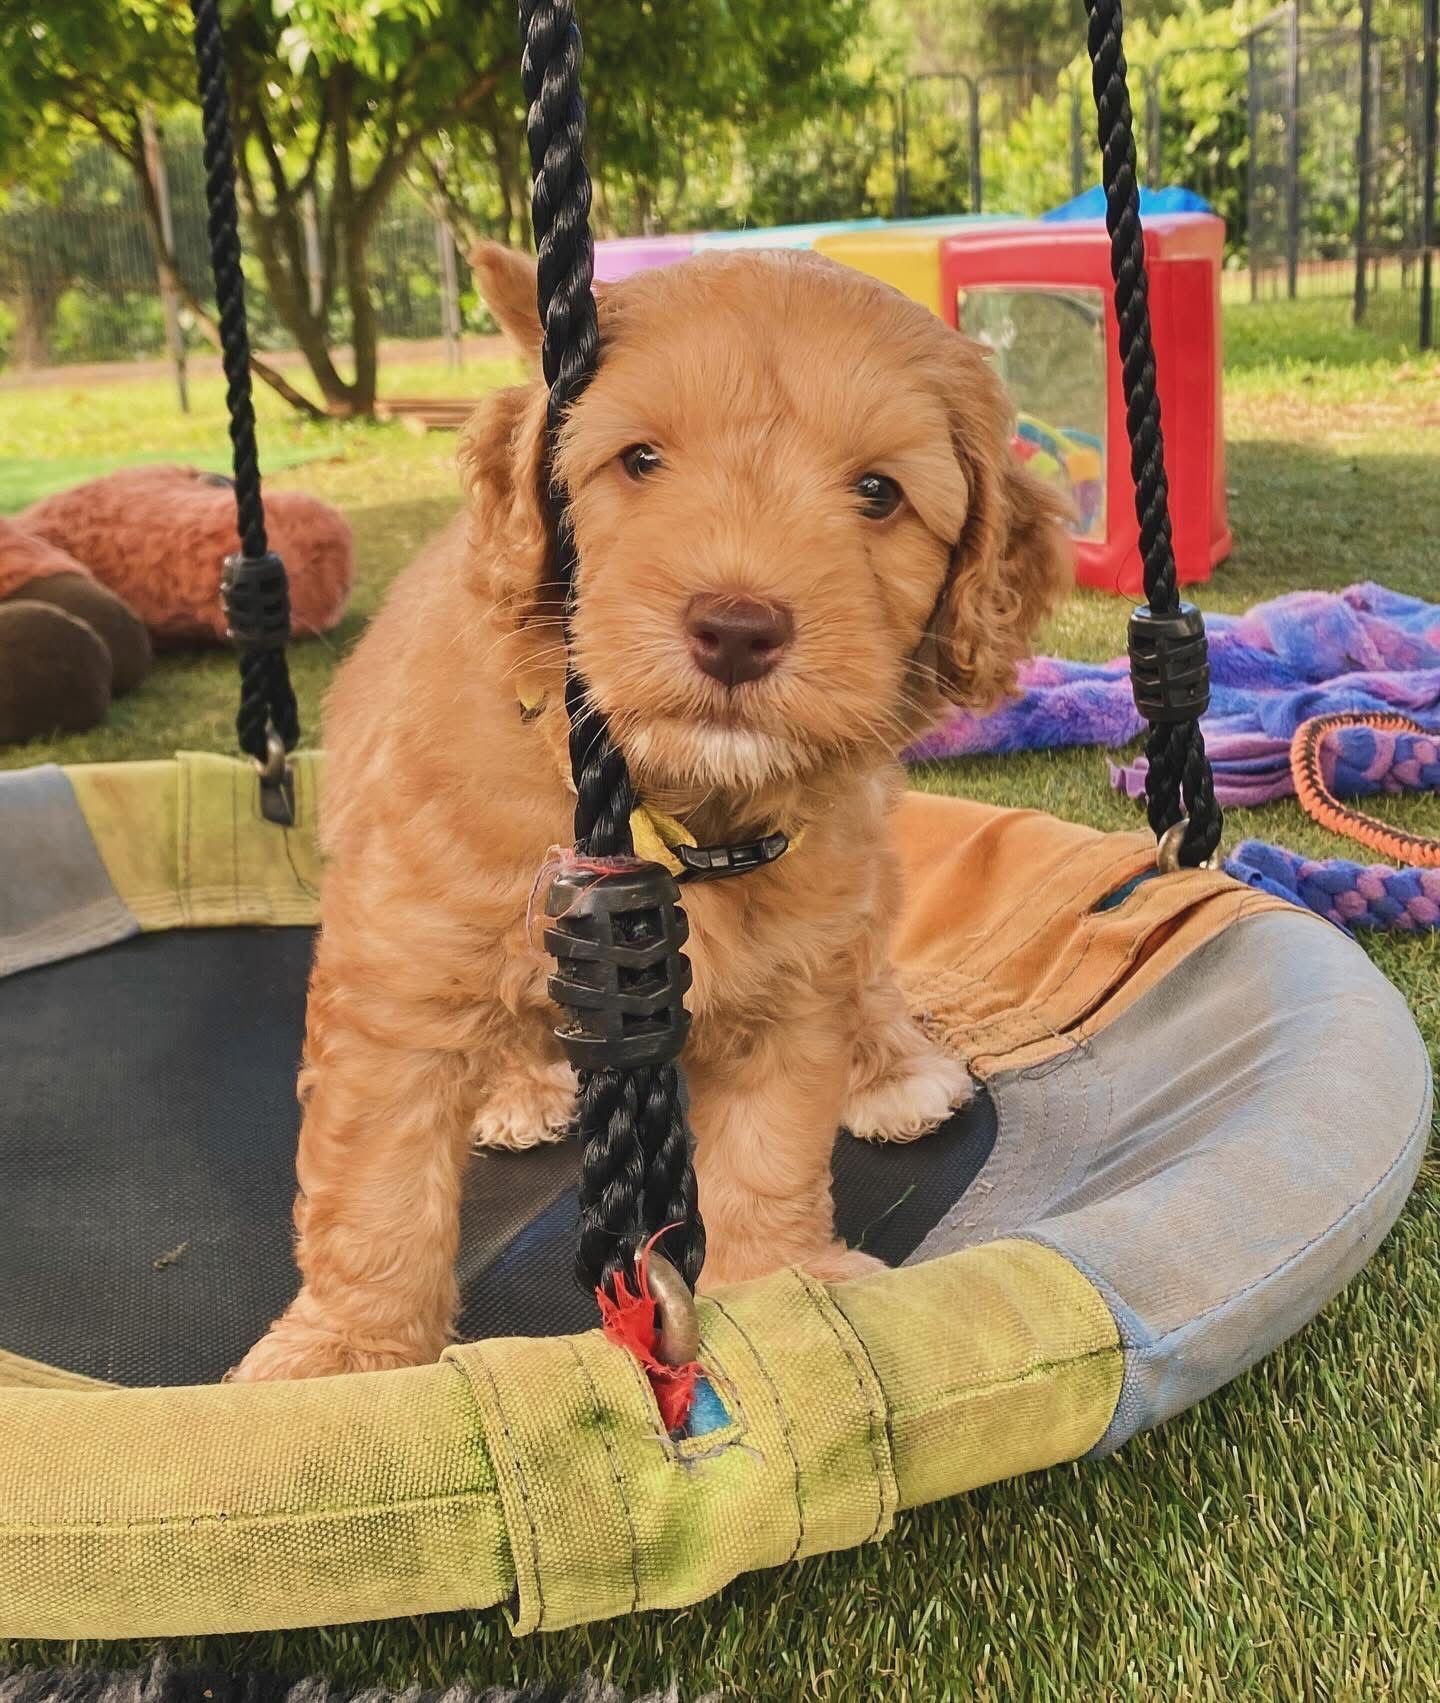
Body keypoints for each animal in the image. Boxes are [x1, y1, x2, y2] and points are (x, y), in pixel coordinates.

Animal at [232, 242, 1071, 1381]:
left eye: (878, 492)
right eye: (639, 461)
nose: (737, 628)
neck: (666, 805)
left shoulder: (790, 981)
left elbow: (770, 1148)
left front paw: (785, 1287)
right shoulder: (398, 978)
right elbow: (378, 1186)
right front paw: (351, 1353)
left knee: (869, 965)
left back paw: (892, 1065)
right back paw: (518, 1087)